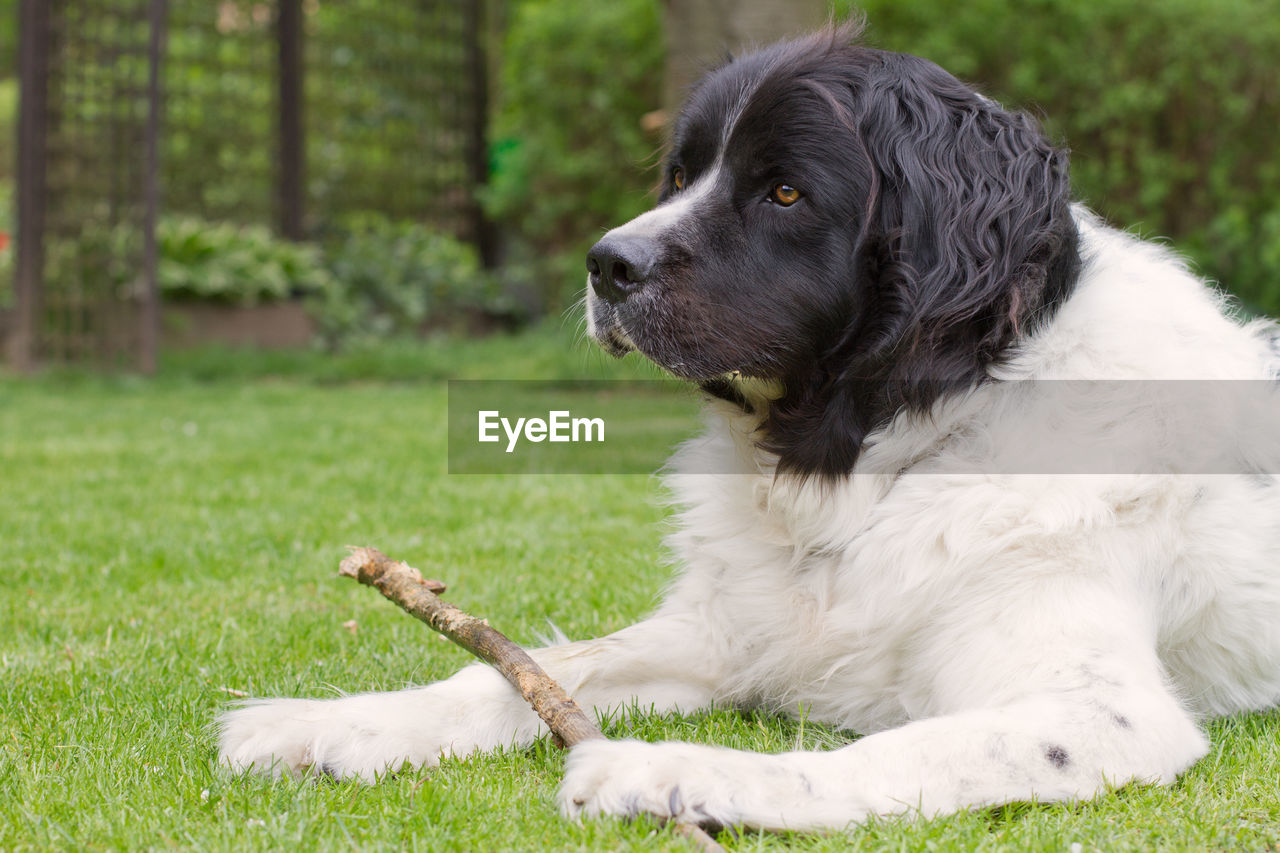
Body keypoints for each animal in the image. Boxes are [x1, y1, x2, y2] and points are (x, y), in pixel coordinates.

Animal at [220, 21, 1280, 829]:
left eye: (784, 191)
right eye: (680, 174)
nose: (608, 263)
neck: (875, 457)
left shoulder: (1103, 712)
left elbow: (884, 756)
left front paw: (659, 768)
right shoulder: (726, 631)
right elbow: (533, 670)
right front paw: (331, 724)